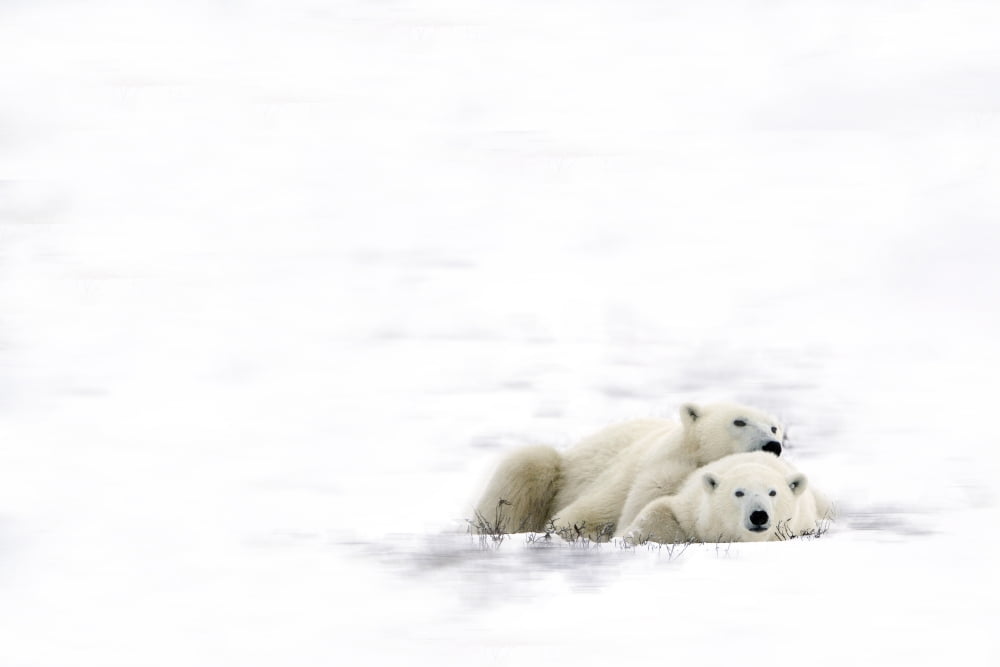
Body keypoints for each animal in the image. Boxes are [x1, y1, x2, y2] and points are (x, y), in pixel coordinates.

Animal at [470, 401, 787, 540]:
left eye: (774, 428)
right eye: (739, 421)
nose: (772, 445)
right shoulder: (654, 473)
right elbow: (580, 518)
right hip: (560, 470)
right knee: (528, 464)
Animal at [619, 451, 829, 544]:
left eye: (773, 492)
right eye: (739, 492)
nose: (759, 515)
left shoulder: (804, 522)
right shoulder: (692, 510)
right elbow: (658, 513)